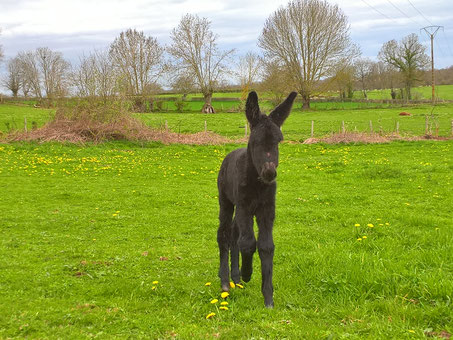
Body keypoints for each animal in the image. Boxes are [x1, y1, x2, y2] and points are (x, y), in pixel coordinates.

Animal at [216, 91, 296, 308]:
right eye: (255, 142)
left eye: (278, 141)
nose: (269, 172)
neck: (258, 185)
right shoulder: (244, 206)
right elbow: (248, 243)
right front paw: (247, 273)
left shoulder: (267, 210)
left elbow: (266, 246)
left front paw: (268, 298)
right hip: (226, 202)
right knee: (224, 234)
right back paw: (226, 281)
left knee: (234, 234)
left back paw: (235, 277)